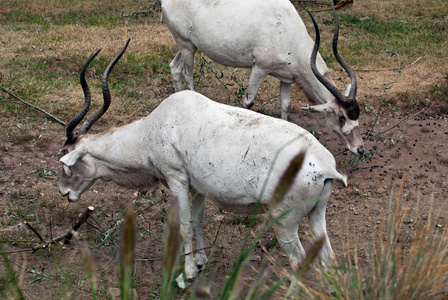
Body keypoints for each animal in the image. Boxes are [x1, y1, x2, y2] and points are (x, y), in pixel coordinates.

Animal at [58, 39, 346, 290]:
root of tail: (325, 166)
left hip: (284, 220)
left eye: (66, 159)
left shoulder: (176, 178)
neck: (157, 125)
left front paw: (184, 276)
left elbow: (184, 226)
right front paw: (199, 264)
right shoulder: (197, 187)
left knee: (298, 261)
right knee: (329, 258)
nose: (64, 192)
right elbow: (198, 222)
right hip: (316, 213)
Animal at [163, 0, 366, 157]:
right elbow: (248, 102)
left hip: (190, 45)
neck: (286, 30)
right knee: (188, 74)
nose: (360, 149)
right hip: (186, 44)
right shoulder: (260, 68)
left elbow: (285, 105)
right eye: (341, 117)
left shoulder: (287, 78)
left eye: (357, 114)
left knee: (175, 68)